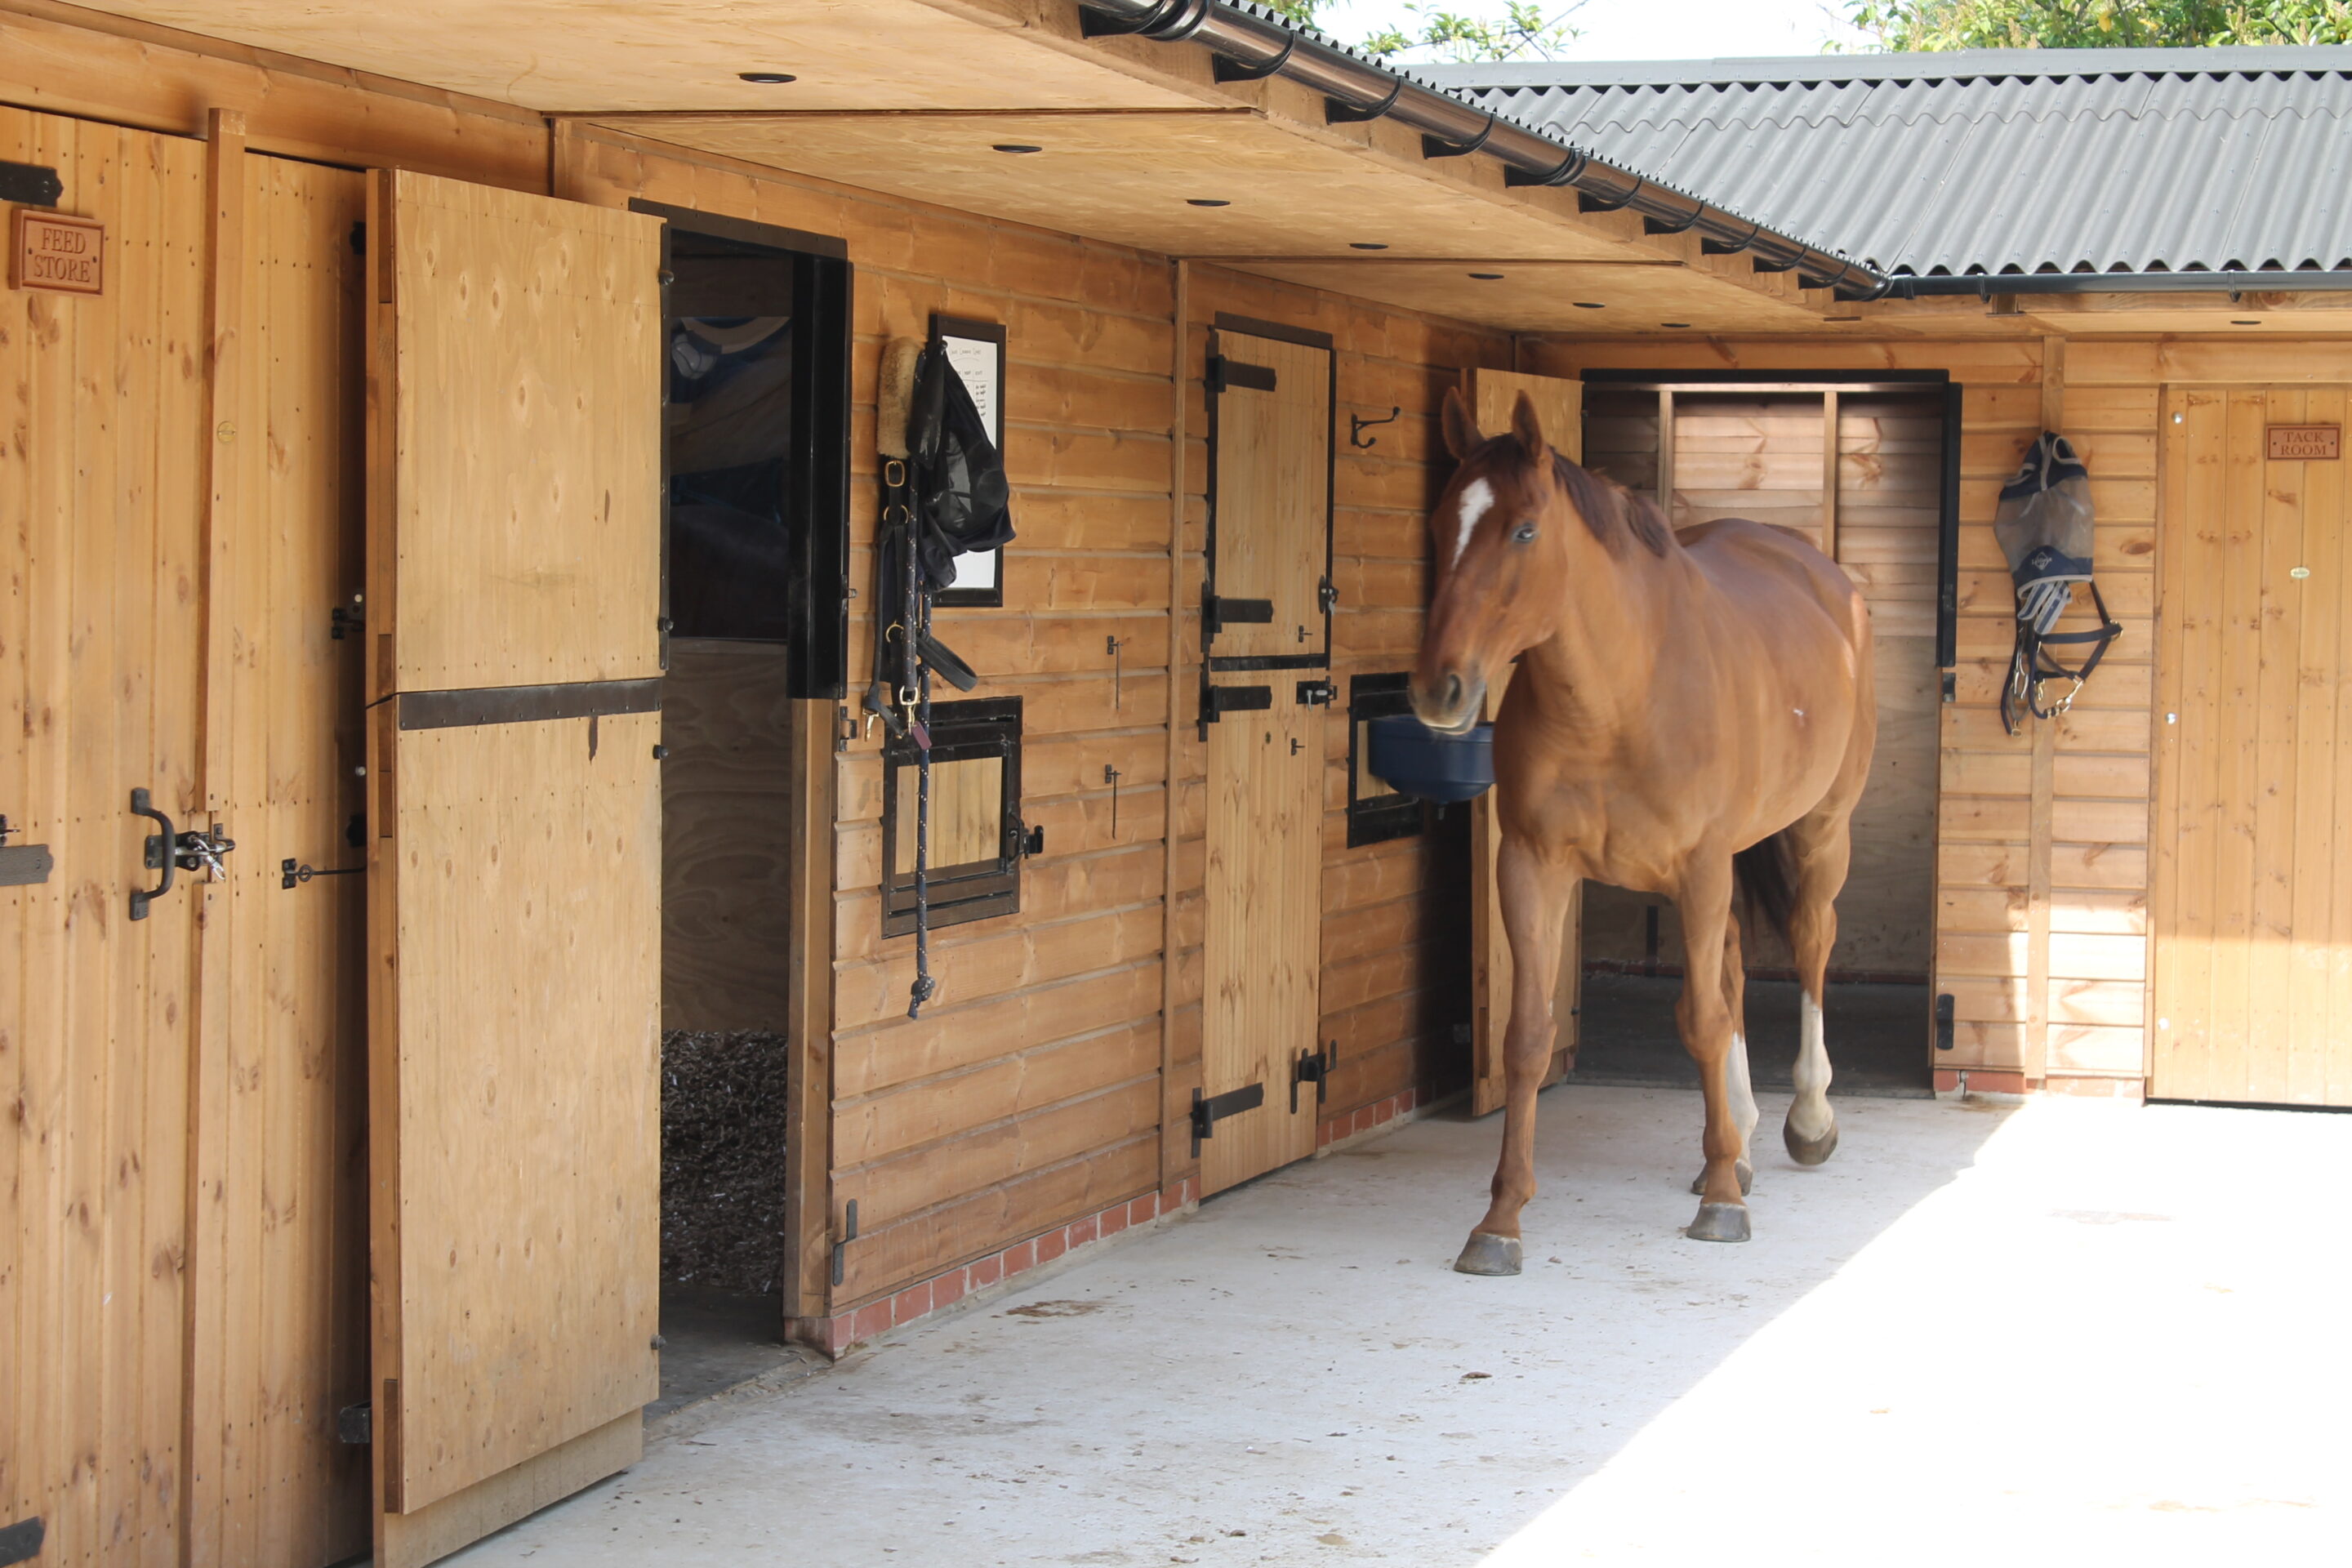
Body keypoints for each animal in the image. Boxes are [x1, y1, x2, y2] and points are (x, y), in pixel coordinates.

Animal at [1412, 388, 1876, 1272]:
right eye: (1440, 521)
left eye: (1524, 530)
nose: (1439, 690)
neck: (1617, 700)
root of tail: (1824, 575)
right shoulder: (1531, 866)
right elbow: (1528, 1037)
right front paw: (1500, 1220)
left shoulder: (1700, 868)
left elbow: (1700, 1020)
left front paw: (1723, 1203)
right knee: (1730, 968)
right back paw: (1739, 1141)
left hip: (1823, 830)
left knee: (1810, 941)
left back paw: (1805, 1122)